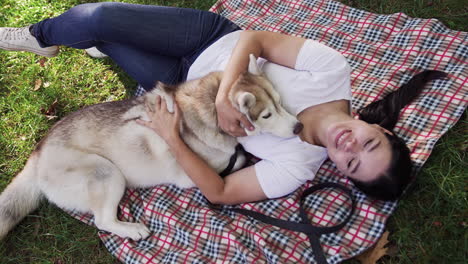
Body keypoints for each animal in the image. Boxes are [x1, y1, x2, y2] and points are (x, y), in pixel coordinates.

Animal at [0, 54, 300, 240]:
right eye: (266, 115)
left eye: (280, 102)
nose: (298, 127)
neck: (208, 111)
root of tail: (38, 151)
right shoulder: (192, 177)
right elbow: (234, 160)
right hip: (106, 172)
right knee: (102, 221)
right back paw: (131, 230)